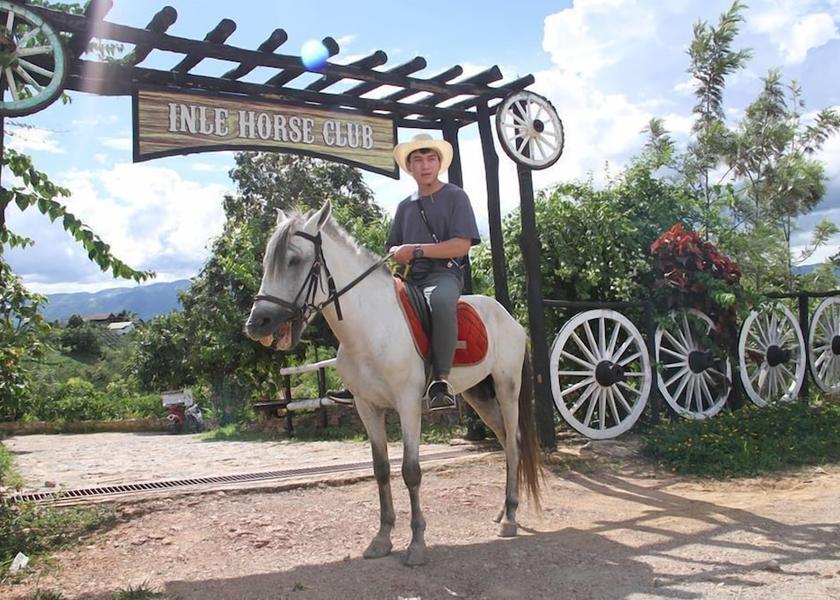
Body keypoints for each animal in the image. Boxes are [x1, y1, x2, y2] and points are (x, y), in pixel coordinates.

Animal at [244, 200, 542, 566]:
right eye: (267, 261)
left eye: (295, 260)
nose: (257, 323)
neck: (371, 327)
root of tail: (509, 319)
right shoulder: (367, 407)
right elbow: (381, 469)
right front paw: (382, 538)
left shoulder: (408, 404)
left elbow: (411, 471)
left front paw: (417, 544)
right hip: (479, 395)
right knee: (503, 439)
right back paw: (502, 511)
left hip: (506, 388)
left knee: (513, 443)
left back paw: (510, 518)